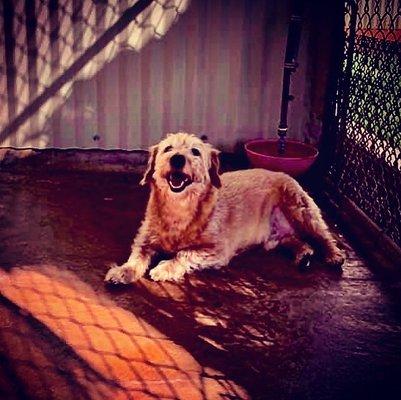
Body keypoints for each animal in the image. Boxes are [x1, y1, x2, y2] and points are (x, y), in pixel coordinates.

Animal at [104, 133, 344, 282]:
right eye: (168, 148)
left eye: (195, 151)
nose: (177, 158)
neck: (179, 209)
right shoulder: (144, 239)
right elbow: (137, 256)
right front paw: (124, 271)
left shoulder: (217, 250)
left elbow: (184, 253)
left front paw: (165, 267)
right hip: (278, 236)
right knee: (296, 240)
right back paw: (303, 254)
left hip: (302, 210)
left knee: (323, 237)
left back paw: (333, 255)